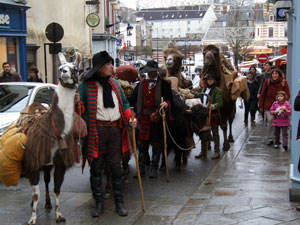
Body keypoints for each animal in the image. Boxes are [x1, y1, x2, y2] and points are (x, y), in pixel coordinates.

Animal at [23, 51, 81, 225]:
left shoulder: (60, 162)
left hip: (48, 164)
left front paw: (59, 215)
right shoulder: (34, 160)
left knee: (47, 181)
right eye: (61, 67)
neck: (54, 127)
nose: (64, 72)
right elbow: (36, 193)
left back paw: (48, 203)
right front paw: (32, 218)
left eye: (75, 68)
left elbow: (57, 189)